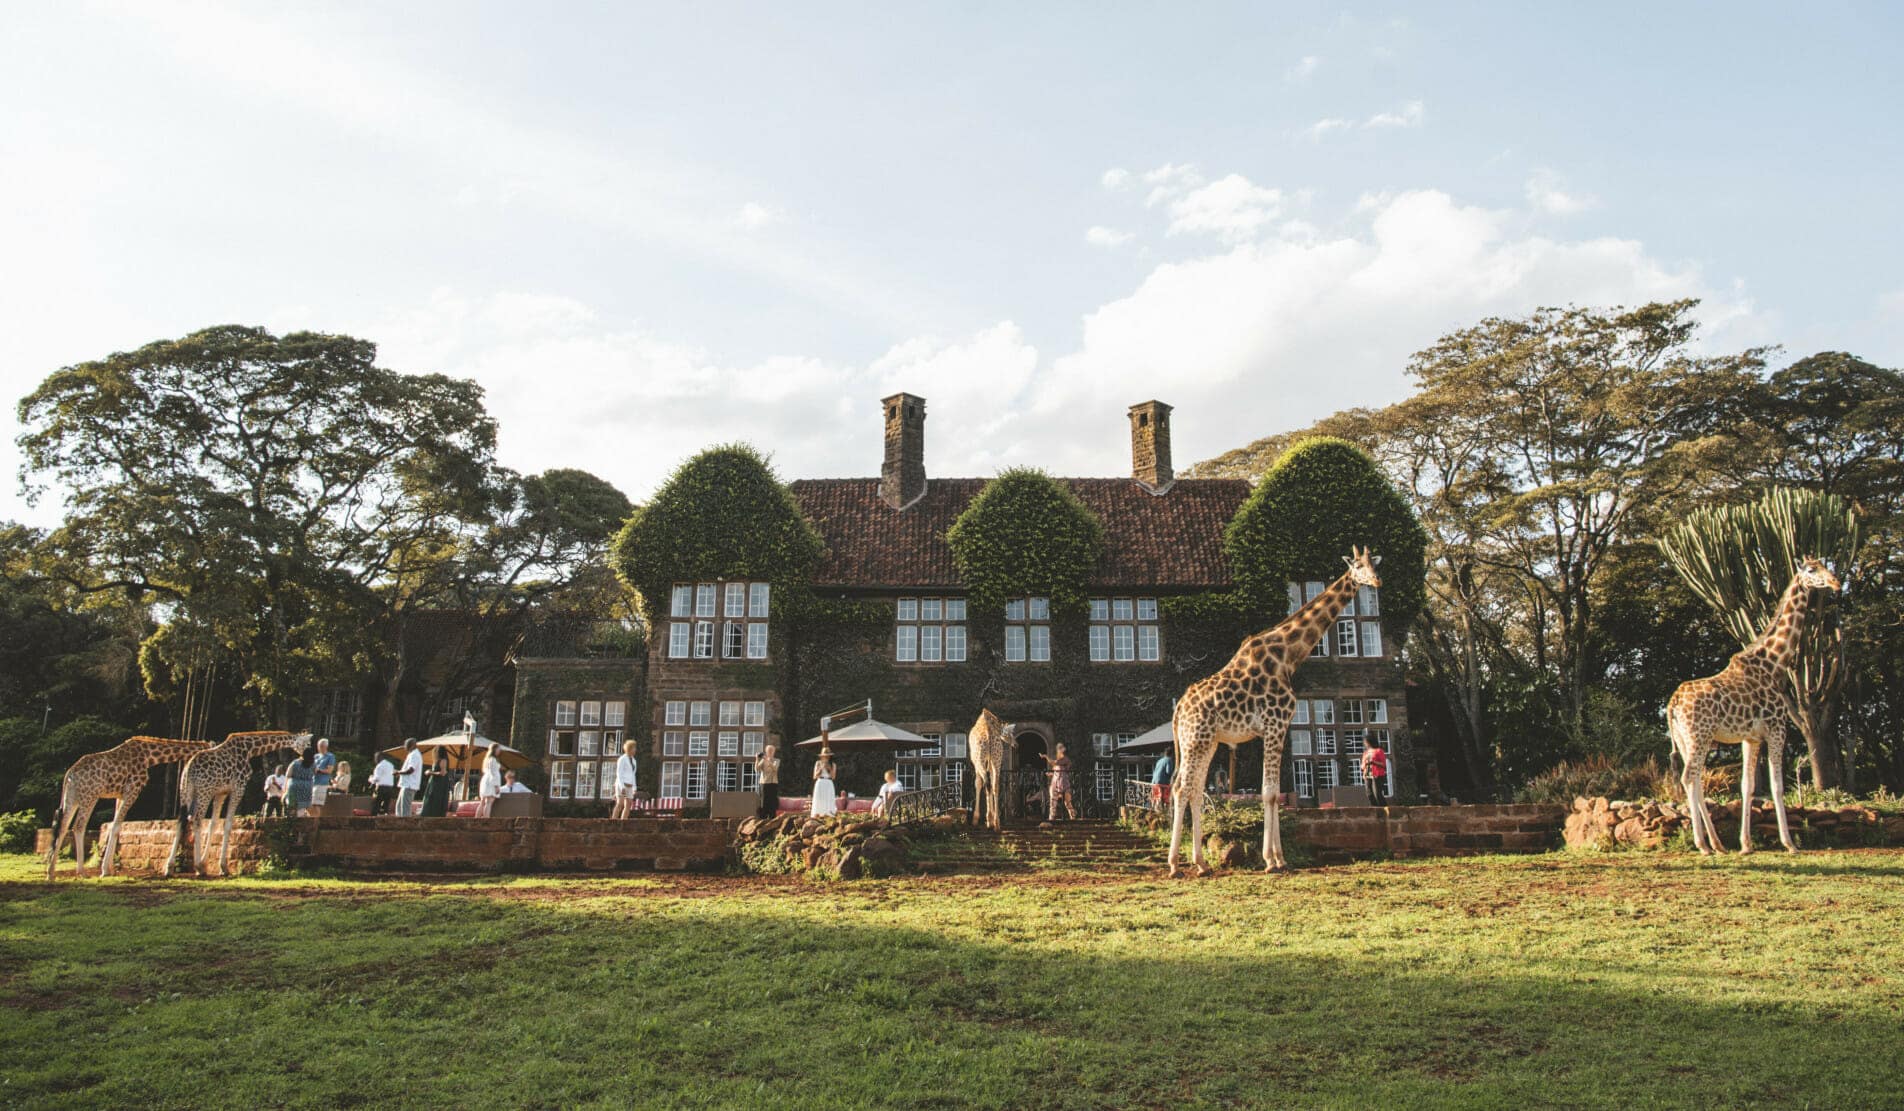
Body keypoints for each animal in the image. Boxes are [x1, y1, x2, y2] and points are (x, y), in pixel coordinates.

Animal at [44, 737, 212, 880]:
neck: (149, 757)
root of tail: (69, 775)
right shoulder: (133, 790)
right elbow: (116, 826)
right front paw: (105, 871)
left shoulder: (119, 795)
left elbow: (115, 827)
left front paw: (110, 869)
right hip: (90, 796)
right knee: (78, 826)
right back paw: (82, 872)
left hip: (72, 798)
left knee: (63, 826)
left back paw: (50, 873)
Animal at [163, 731, 313, 877]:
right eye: (307, 744)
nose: (310, 760)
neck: (250, 750)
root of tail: (189, 769)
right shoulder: (238, 789)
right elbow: (228, 824)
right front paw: (222, 868)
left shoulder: (221, 792)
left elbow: (213, 824)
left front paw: (205, 864)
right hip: (203, 792)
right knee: (196, 820)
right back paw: (196, 868)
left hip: (185, 791)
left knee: (181, 820)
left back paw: (170, 868)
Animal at [1169, 547, 1382, 877]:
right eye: (1358, 566)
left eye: (1374, 564)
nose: (1377, 581)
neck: (1288, 656)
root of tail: (1179, 708)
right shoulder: (1275, 725)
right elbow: (1269, 792)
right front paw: (1271, 860)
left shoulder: (1278, 728)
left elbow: (1276, 794)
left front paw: (1279, 858)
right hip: (1195, 740)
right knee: (1181, 789)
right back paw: (1174, 865)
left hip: (1207, 742)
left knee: (1194, 790)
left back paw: (1201, 863)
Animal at [1668, 556, 1841, 856]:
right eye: (1811, 569)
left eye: (1824, 564)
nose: (1836, 582)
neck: (1775, 663)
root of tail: (1673, 704)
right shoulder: (1777, 729)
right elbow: (1777, 786)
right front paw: (1790, 843)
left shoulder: (1751, 738)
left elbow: (1747, 786)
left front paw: (1746, 844)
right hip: (1699, 735)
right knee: (1689, 778)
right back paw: (1703, 845)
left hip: (1686, 738)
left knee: (1697, 780)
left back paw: (1717, 844)